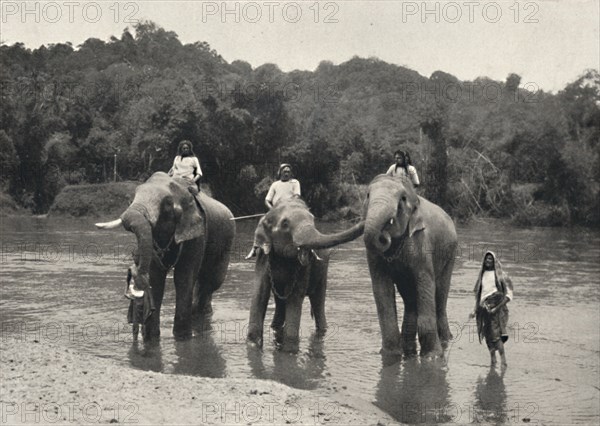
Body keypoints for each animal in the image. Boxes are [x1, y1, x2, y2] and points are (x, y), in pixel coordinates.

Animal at [96, 171, 234, 342]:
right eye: (134, 195)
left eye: (167, 203)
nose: (134, 265)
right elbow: (156, 279)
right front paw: (151, 338)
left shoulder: (196, 234)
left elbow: (183, 278)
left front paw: (182, 338)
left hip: (226, 241)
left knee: (211, 282)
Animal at [245, 198, 366, 354]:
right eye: (285, 224)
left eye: (313, 219)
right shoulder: (263, 258)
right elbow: (260, 293)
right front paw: (253, 347)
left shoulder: (304, 267)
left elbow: (295, 298)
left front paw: (289, 351)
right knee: (281, 302)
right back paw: (275, 328)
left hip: (323, 271)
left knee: (318, 301)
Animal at [364, 175, 458, 358]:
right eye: (367, 195)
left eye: (402, 199)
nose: (384, 236)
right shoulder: (373, 256)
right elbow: (382, 290)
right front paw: (390, 355)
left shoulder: (421, 242)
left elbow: (425, 282)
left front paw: (433, 357)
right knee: (411, 299)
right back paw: (409, 350)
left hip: (450, 254)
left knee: (440, 296)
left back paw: (445, 341)